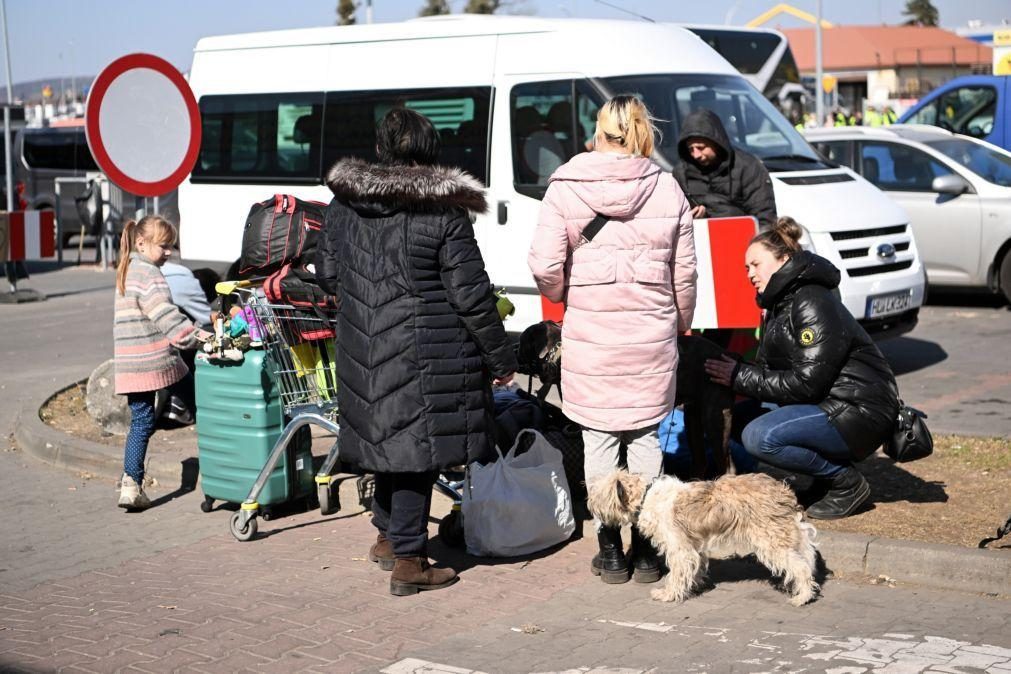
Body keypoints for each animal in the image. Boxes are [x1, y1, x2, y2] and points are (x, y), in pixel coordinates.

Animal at [513, 323, 736, 476]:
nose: (513, 348)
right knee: (700, 461)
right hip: (693, 418)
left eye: (523, 342)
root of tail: (727, 354)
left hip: (715, 419)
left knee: (727, 465)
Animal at [590, 468, 816, 606]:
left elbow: (677, 573)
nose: (589, 505)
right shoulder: (692, 546)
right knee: (806, 558)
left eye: (598, 495)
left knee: (801, 567)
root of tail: (783, 491)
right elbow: (695, 566)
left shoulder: (679, 549)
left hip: (771, 542)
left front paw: (668, 594)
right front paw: (694, 583)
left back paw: (803, 596)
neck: (645, 498)